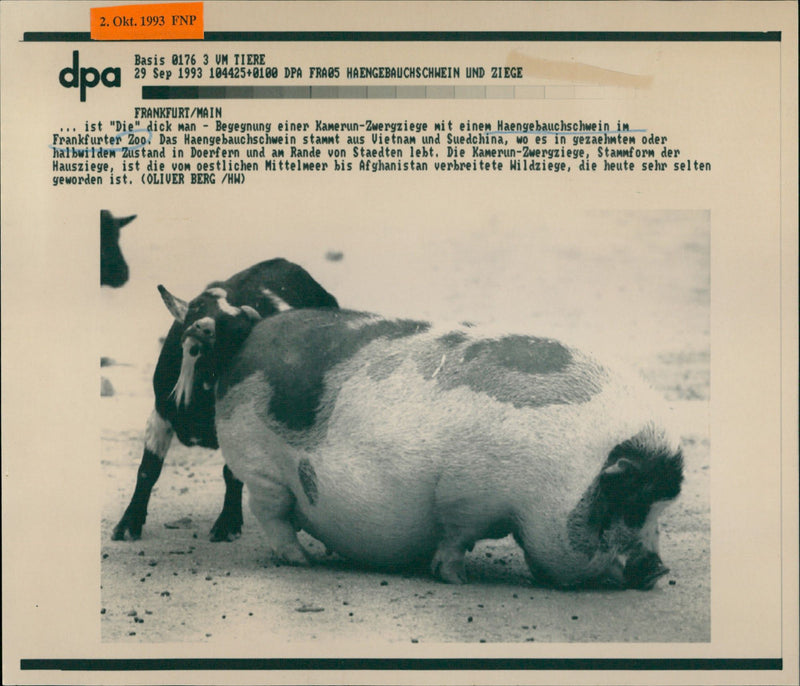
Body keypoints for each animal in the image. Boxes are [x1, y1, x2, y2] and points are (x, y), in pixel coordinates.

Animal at [170, 304, 683, 589]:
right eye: (631, 505)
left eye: (661, 509)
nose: (659, 571)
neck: (567, 476)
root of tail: (249, 337)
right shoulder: (466, 495)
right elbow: (458, 537)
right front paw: (457, 578)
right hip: (261, 467)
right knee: (271, 515)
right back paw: (303, 560)